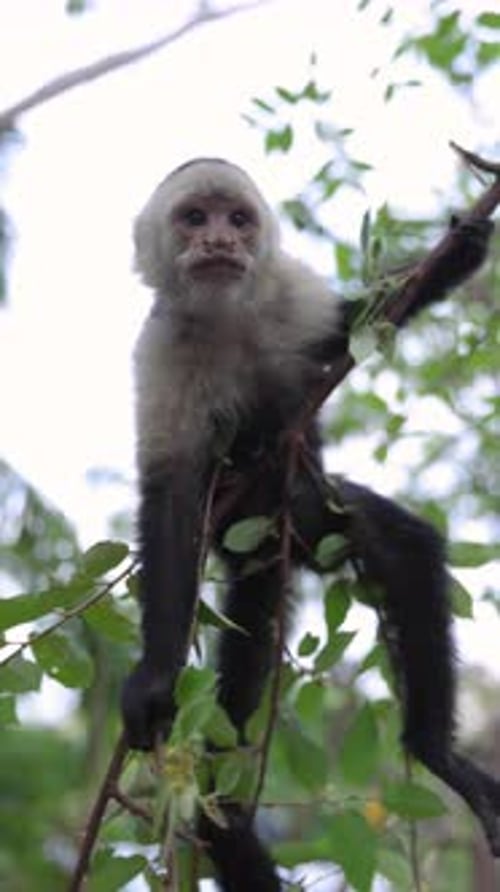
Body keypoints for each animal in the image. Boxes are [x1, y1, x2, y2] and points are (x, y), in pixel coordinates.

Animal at [121, 158, 498, 890]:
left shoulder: (286, 295)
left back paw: (437, 753)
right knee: (217, 778)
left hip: (320, 515)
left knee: (404, 549)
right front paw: (154, 676)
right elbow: (171, 499)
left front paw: (457, 251)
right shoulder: (161, 347)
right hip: (265, 550)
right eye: (194, 218)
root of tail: (280, 545)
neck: (226, 318)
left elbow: (354, 326)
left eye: (238, 220)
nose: (220, 241)